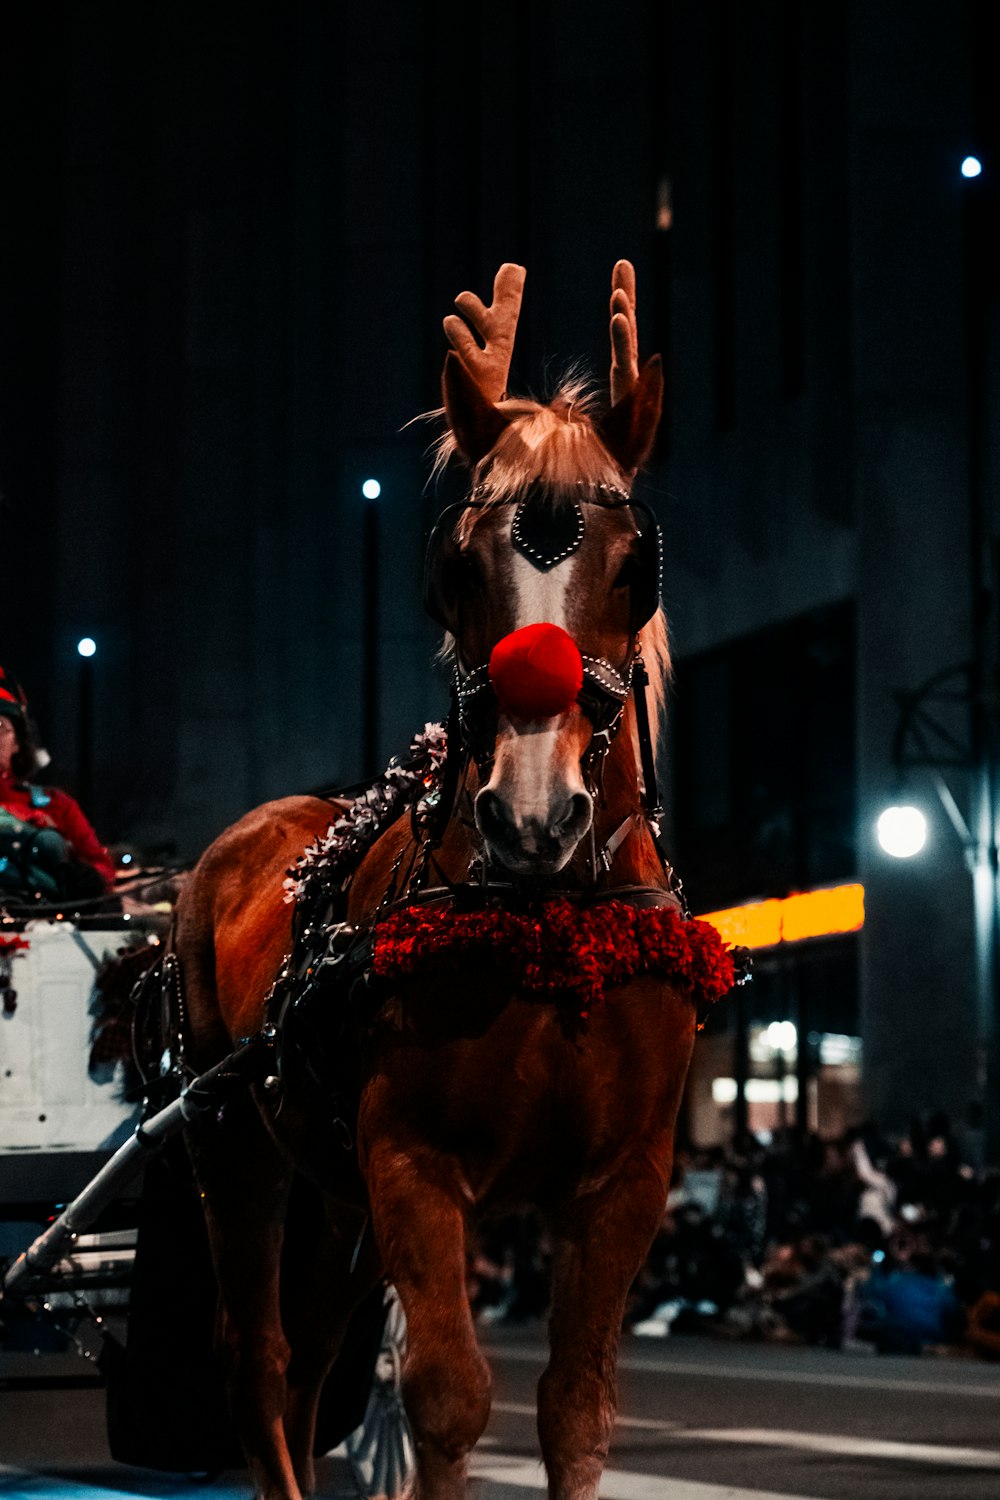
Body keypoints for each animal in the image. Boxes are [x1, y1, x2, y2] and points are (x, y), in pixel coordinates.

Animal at [172, 264, 734, 1500]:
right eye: (457, 568)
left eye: (633, 566)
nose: (532, 814)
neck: (550, 921)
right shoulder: (412, 1162)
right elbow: (445, 1395)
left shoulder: (624, 1185)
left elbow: (574, 1409)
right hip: (235, 1142)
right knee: (258, 1358)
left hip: (332, 1185)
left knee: (312, 1356)